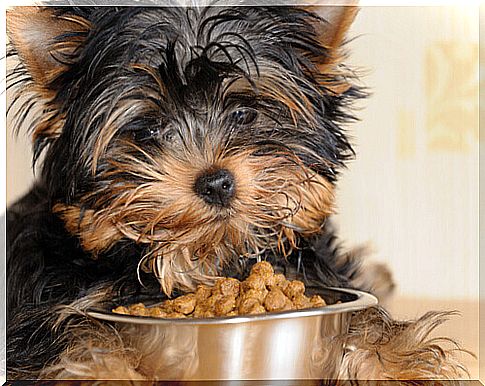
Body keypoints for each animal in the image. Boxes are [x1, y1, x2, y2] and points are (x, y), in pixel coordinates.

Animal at [3, 4, 466, 382]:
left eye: (245, 113)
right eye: (148, 131)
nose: (215, 181)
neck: (205, 256)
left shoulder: (311, 274)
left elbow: (362, 312)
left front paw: (395, 360)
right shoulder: (44, 302)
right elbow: (75, 330)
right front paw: (108, 372)